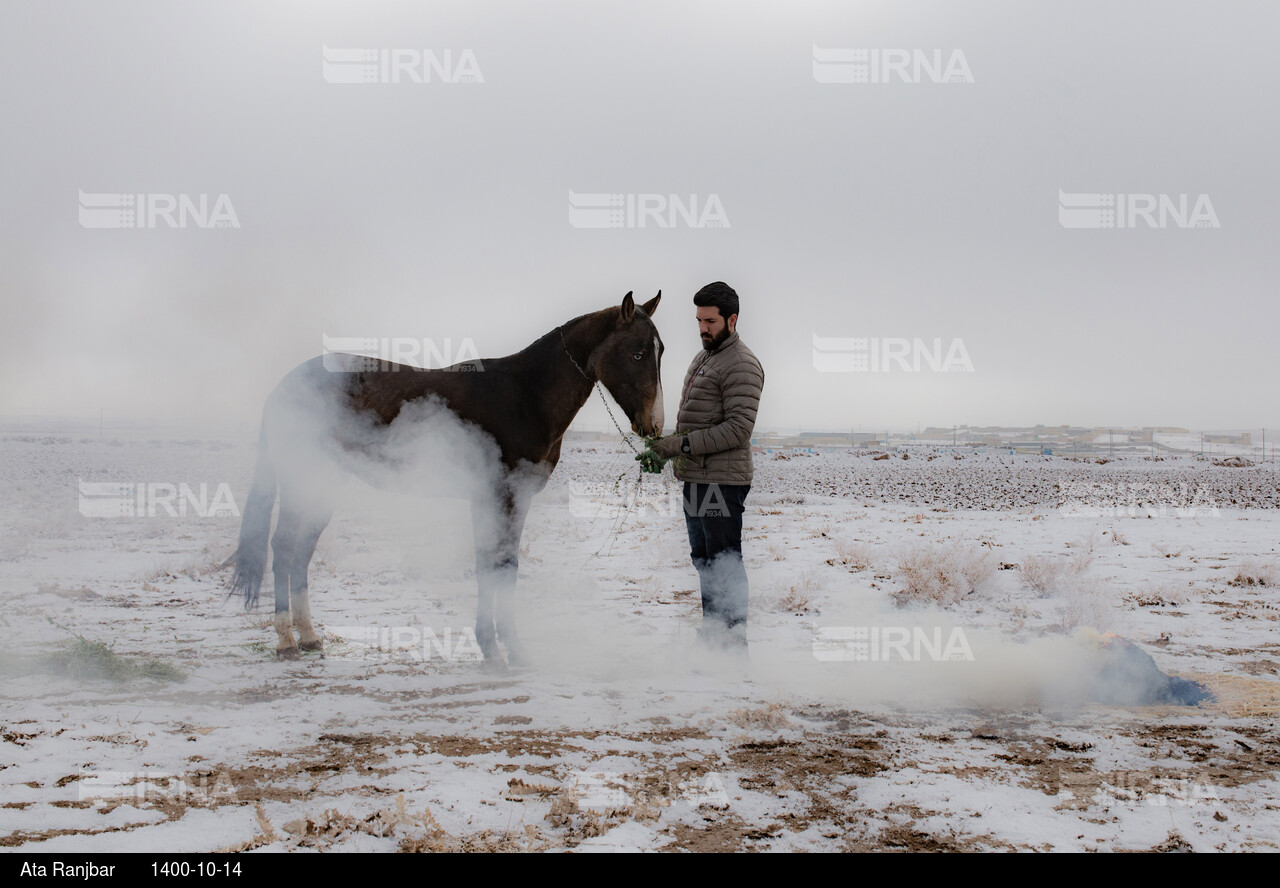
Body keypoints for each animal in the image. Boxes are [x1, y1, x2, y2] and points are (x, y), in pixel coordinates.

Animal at [230, 291, 665, 665]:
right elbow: (490, 568)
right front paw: (494, 650)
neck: (524, 396)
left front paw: (512, 649)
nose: (655, 425)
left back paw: (309, 637)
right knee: (284, 547)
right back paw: (286, 640)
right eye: (638, 352)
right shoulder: (493, 497)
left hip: (325, 486)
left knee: (302, 550)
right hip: (302, 482)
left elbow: (505, 567)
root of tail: (285, 389)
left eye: (661, 351)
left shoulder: (516, 500)